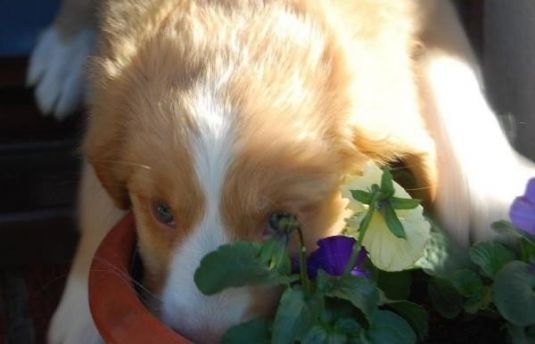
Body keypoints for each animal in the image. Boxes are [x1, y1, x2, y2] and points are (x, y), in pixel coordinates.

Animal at [27, 0, 532, 344]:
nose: (204, 336)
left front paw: (490, 192)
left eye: (283, 220)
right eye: (162, 212)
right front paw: (84, 318)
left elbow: (449, 57)